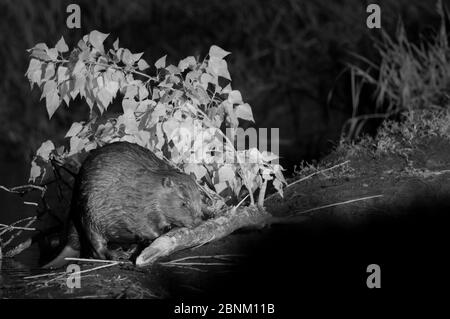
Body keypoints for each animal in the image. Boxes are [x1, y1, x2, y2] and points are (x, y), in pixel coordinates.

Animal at [43, 141, 202, 268]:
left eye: (199, 197)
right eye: (184, 203)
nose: (197, 222)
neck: (151, 188)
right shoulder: (137, 205)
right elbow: (143, 226)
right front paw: (160, 232)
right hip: (88, 214)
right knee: (97, 247)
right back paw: (118, 255)